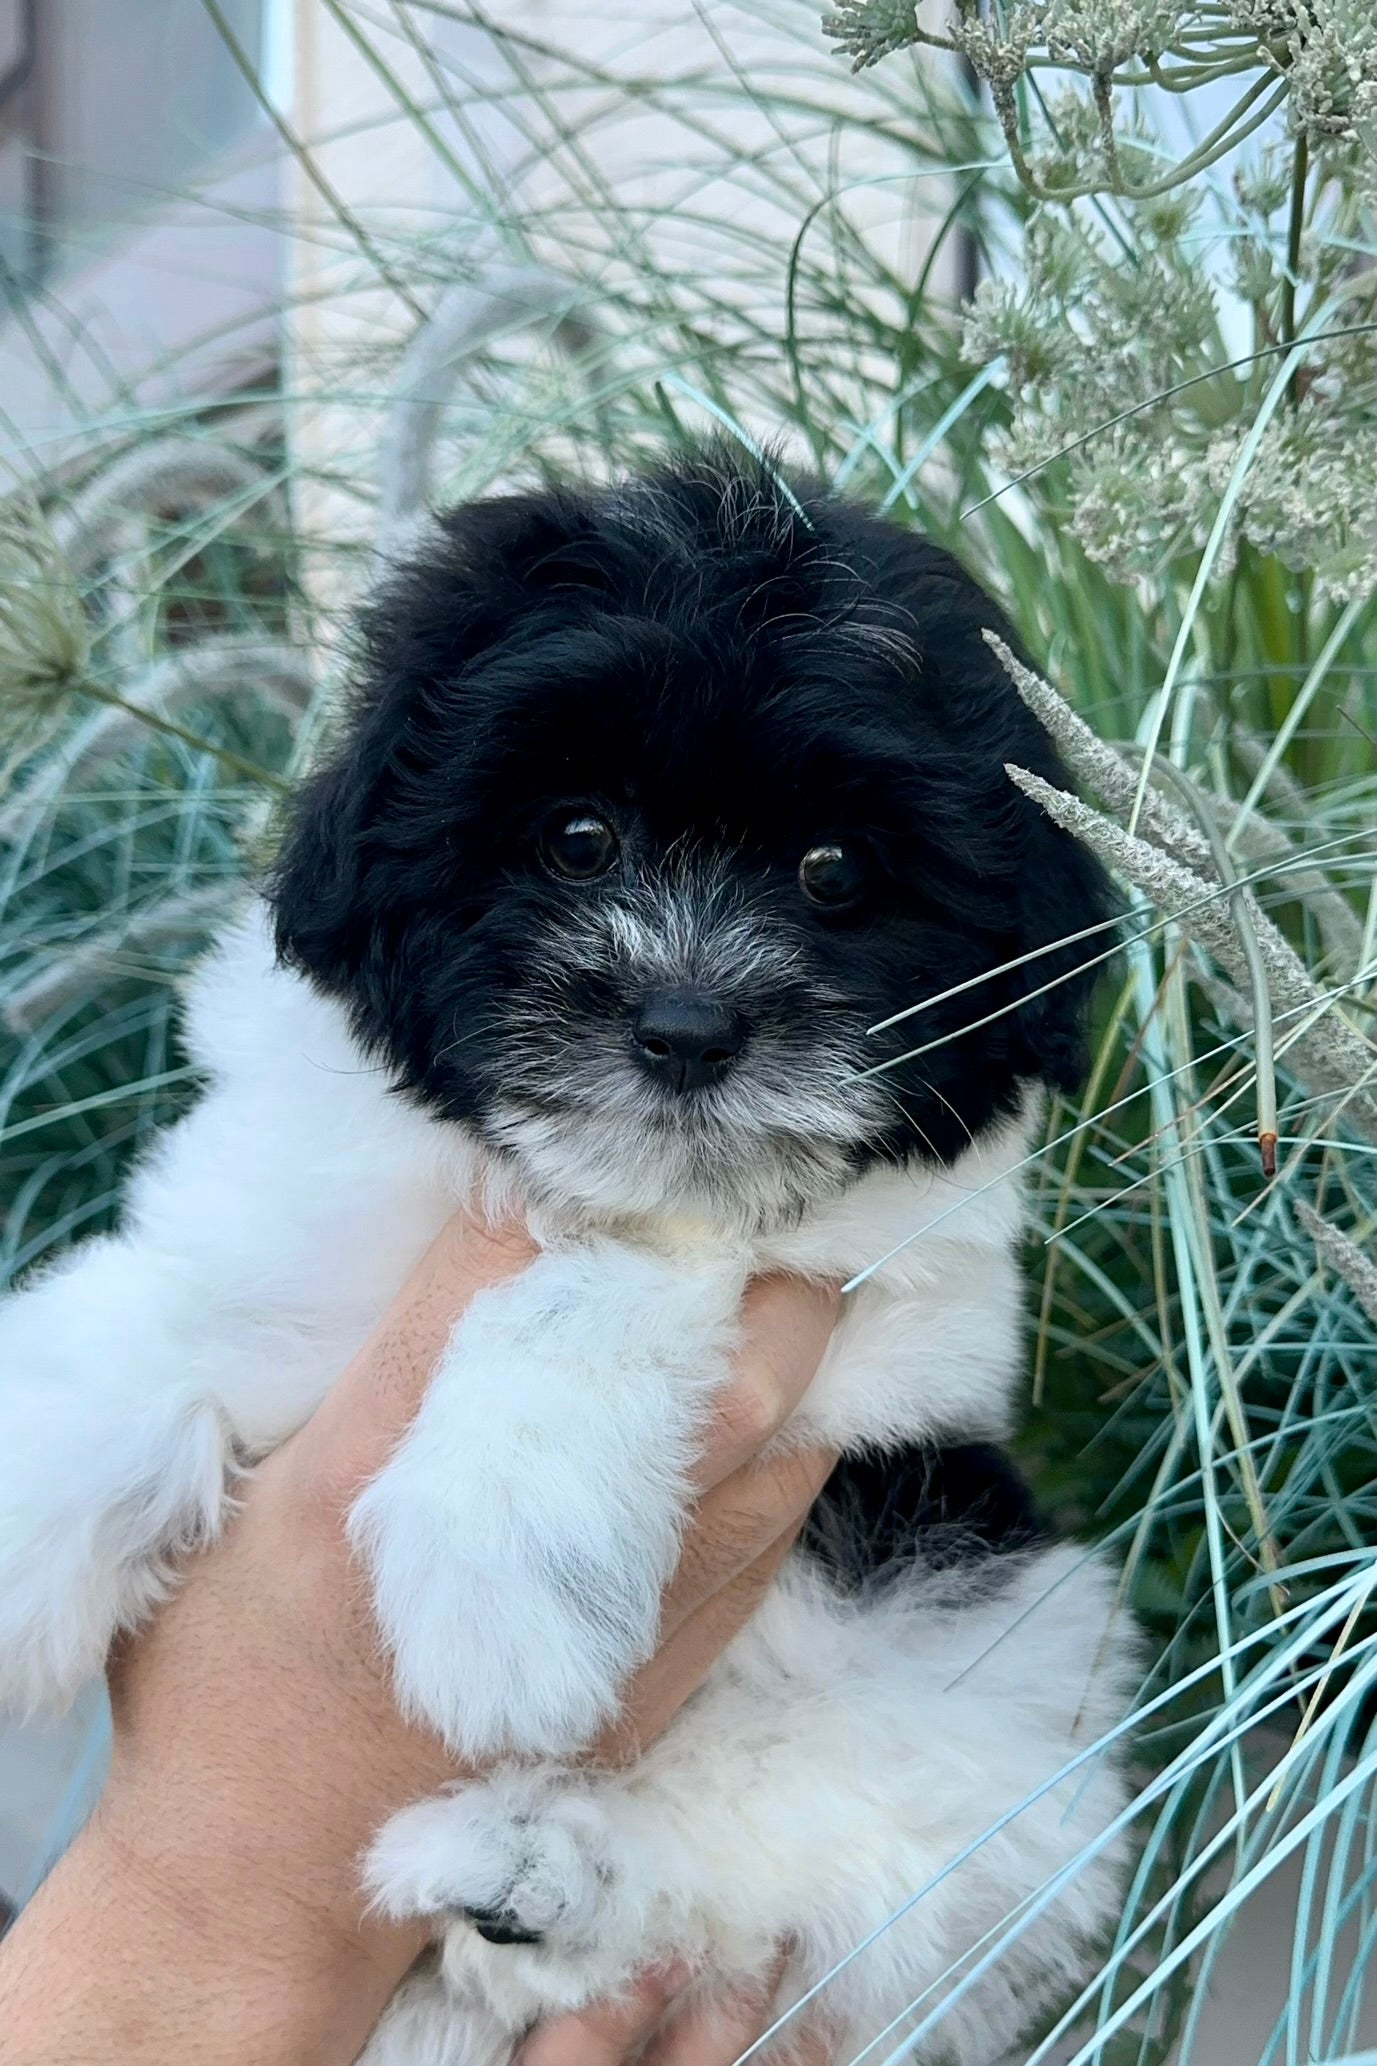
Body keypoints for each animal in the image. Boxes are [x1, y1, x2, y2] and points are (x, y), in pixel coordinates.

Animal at [0, 456, 1139, 2066]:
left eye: (833, 873)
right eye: (577, 838)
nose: (685, 1027)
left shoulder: (882, 1309)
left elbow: (602, 1283)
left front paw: (491, 1572)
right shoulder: (284, 1217)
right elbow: (148, 1323)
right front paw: (28, 1510)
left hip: (1002, 1712)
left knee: (811, 1865)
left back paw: (534, 1873)